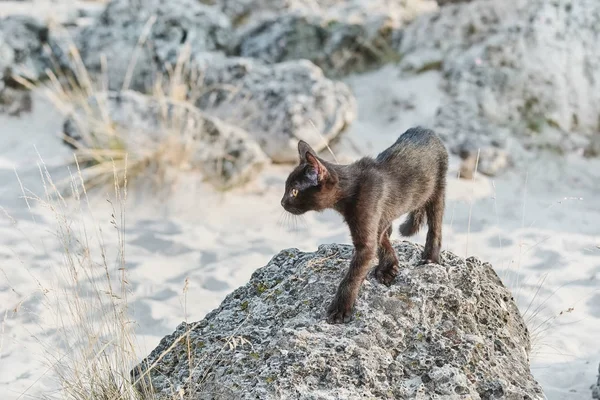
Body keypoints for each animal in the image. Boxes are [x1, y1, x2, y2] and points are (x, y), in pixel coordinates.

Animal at [280, 126, 446, 324]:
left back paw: (431, 258)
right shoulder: (377, 219)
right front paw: (388, 267)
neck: (350, 189)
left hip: (438, 189)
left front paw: (340, 308)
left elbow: (353, 274)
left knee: (435, 225)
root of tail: (425, 129)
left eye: (294, 191)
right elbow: (382, 240)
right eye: (286, 188)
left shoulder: (366, 236)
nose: (282, 202)